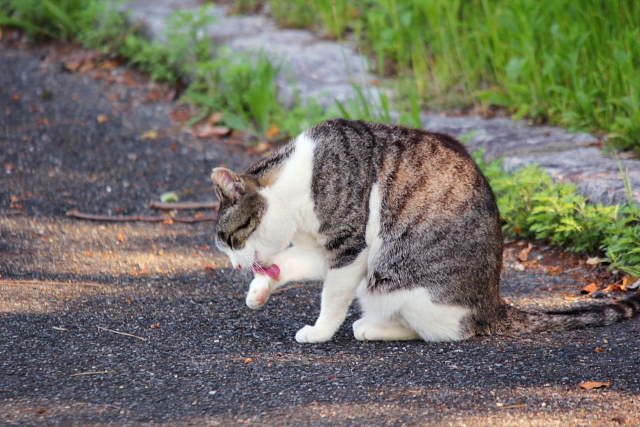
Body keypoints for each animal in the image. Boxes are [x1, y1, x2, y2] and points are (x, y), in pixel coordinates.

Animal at [212, 119, 640, 344]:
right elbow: (288, 264)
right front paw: (259, 290)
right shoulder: (323, 251)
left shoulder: (351, 248)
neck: (295, 186)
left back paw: (370, 327)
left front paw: (318, 332)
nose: (234, 268)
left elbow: (331, 299)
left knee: (442, 330)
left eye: (231, 241)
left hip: (398, 282)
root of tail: (493, 305)